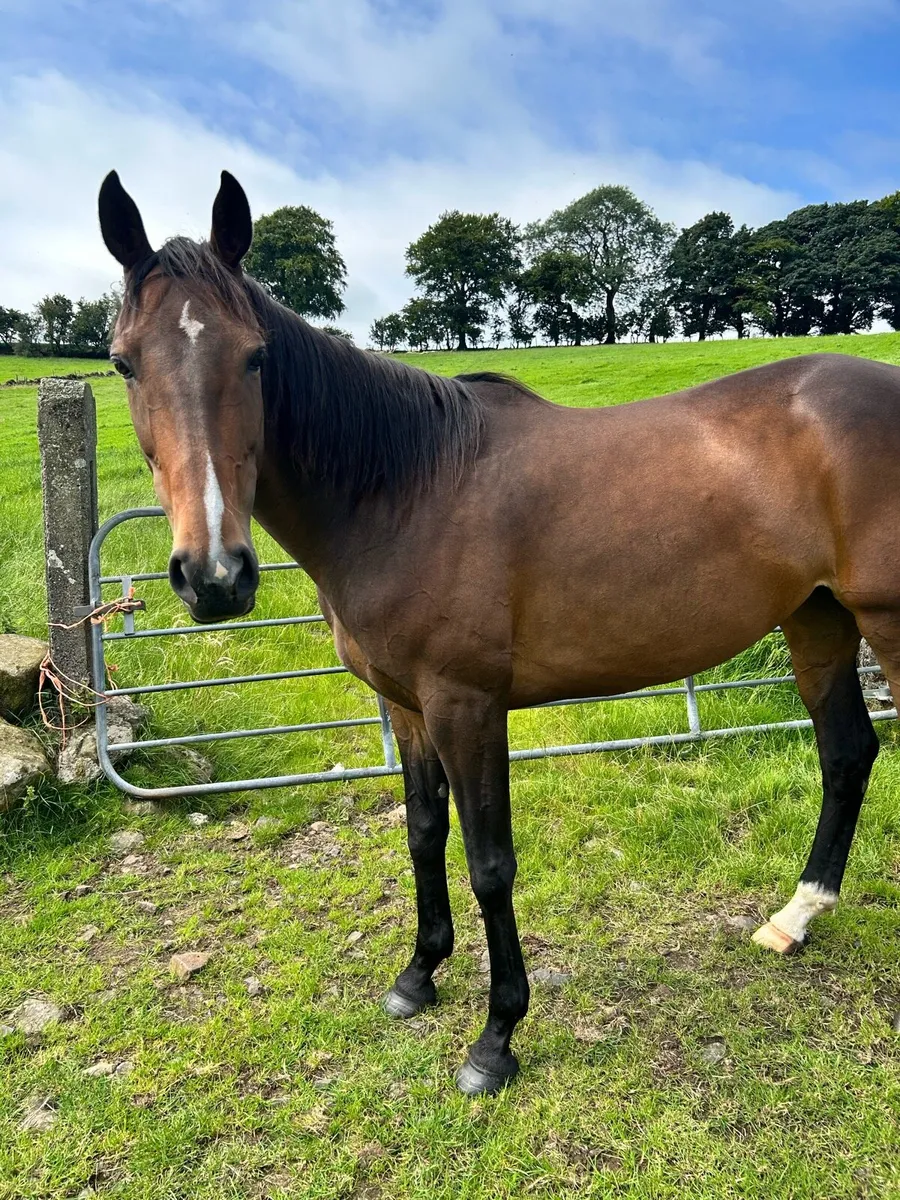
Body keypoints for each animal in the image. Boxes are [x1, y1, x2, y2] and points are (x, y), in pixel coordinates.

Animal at [98, 169, 900, 1095]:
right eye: (122, 361)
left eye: (255, 355)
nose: (215, 577)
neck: (406, 487)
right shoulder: (408, 708)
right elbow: (423, 833)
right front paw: (418, 976)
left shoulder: (467, 705)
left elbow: (490, 862)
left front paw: (496, 1037)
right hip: (818, 618)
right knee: (847, 754)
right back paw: (795, 917)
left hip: (885, 619)